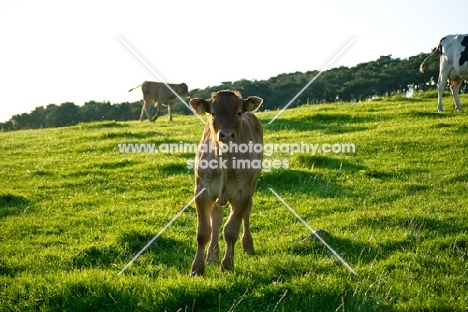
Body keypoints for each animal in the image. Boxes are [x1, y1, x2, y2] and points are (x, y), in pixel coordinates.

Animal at [189, 89, 264, 276]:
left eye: (239, 113)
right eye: (213, 113)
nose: (227, 134)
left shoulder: (243, 192)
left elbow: (231, 231)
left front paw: (228, 264)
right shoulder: (201, 190)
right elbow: (203, 232)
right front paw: (197, 268)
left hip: (252, 185)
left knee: (246, 213)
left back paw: (248, 246)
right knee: (216, 217)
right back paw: (212, 255)